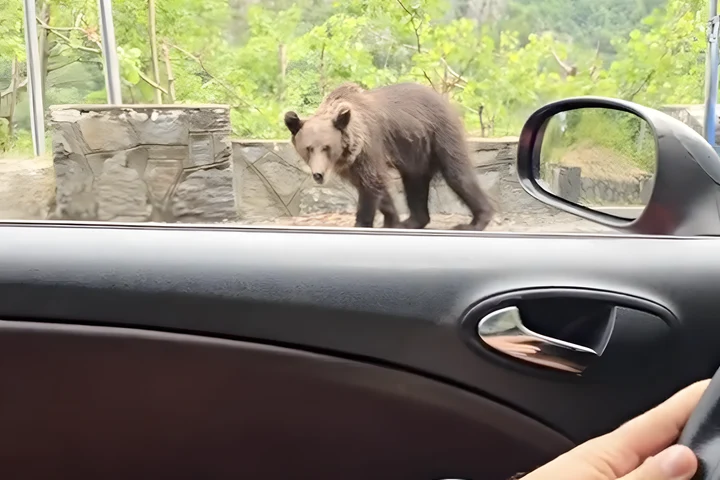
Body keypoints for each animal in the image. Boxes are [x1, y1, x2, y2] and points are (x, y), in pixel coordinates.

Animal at [282, 81, 496, 231]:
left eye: (326, 147)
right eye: (308, 148)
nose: (318, 174)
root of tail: (442, 99)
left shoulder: (369, 147)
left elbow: (371, 184)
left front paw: (363, 222)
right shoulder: (352, 164)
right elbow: (378, 187)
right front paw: (392, 219)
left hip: (439, 134)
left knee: (457, 174)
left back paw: (475, 221)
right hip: (416, 151)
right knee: (415, 183)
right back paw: (413, 220)